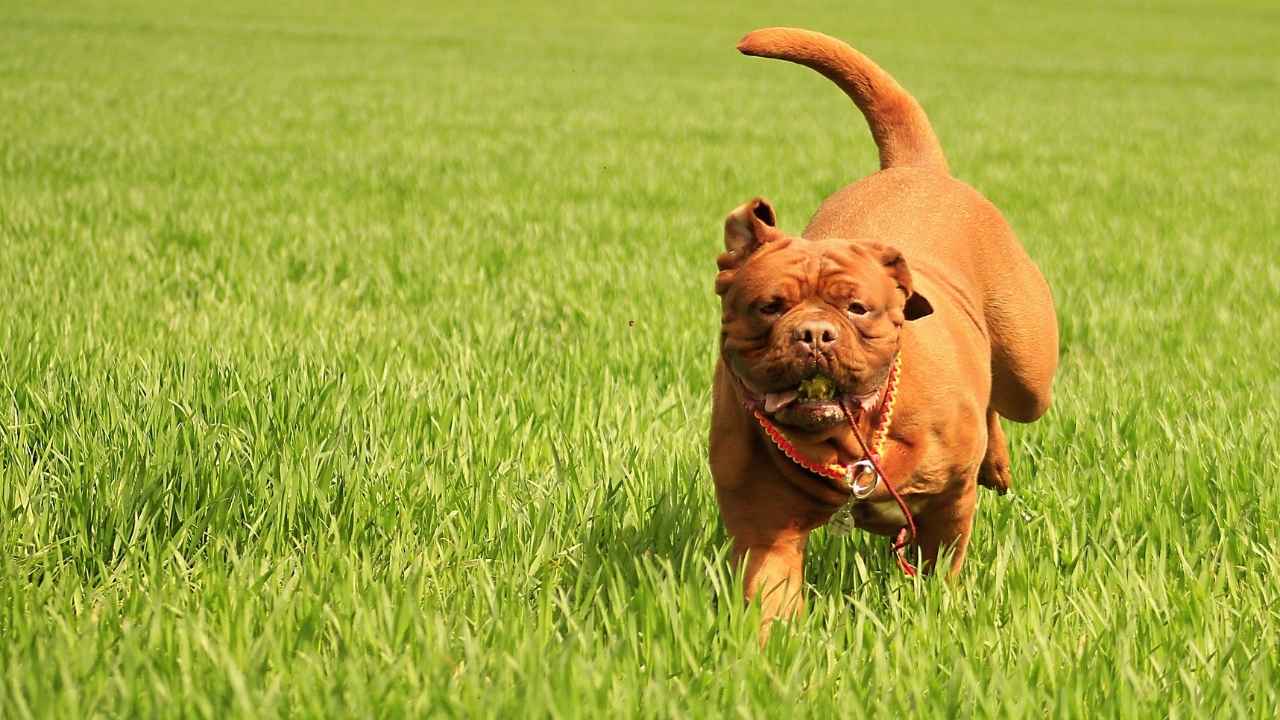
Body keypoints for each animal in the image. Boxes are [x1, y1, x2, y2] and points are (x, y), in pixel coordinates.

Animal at [711, 26, 1059, 627]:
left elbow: (942, 564)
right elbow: (770, 600)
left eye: (857, 308)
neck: (848, 443)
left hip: (1028, 372)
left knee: (1005, 400)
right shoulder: (765, 529)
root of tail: (914, 167)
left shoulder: (948, 505)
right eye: (768, 307)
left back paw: (997, 464)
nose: (814, 333)